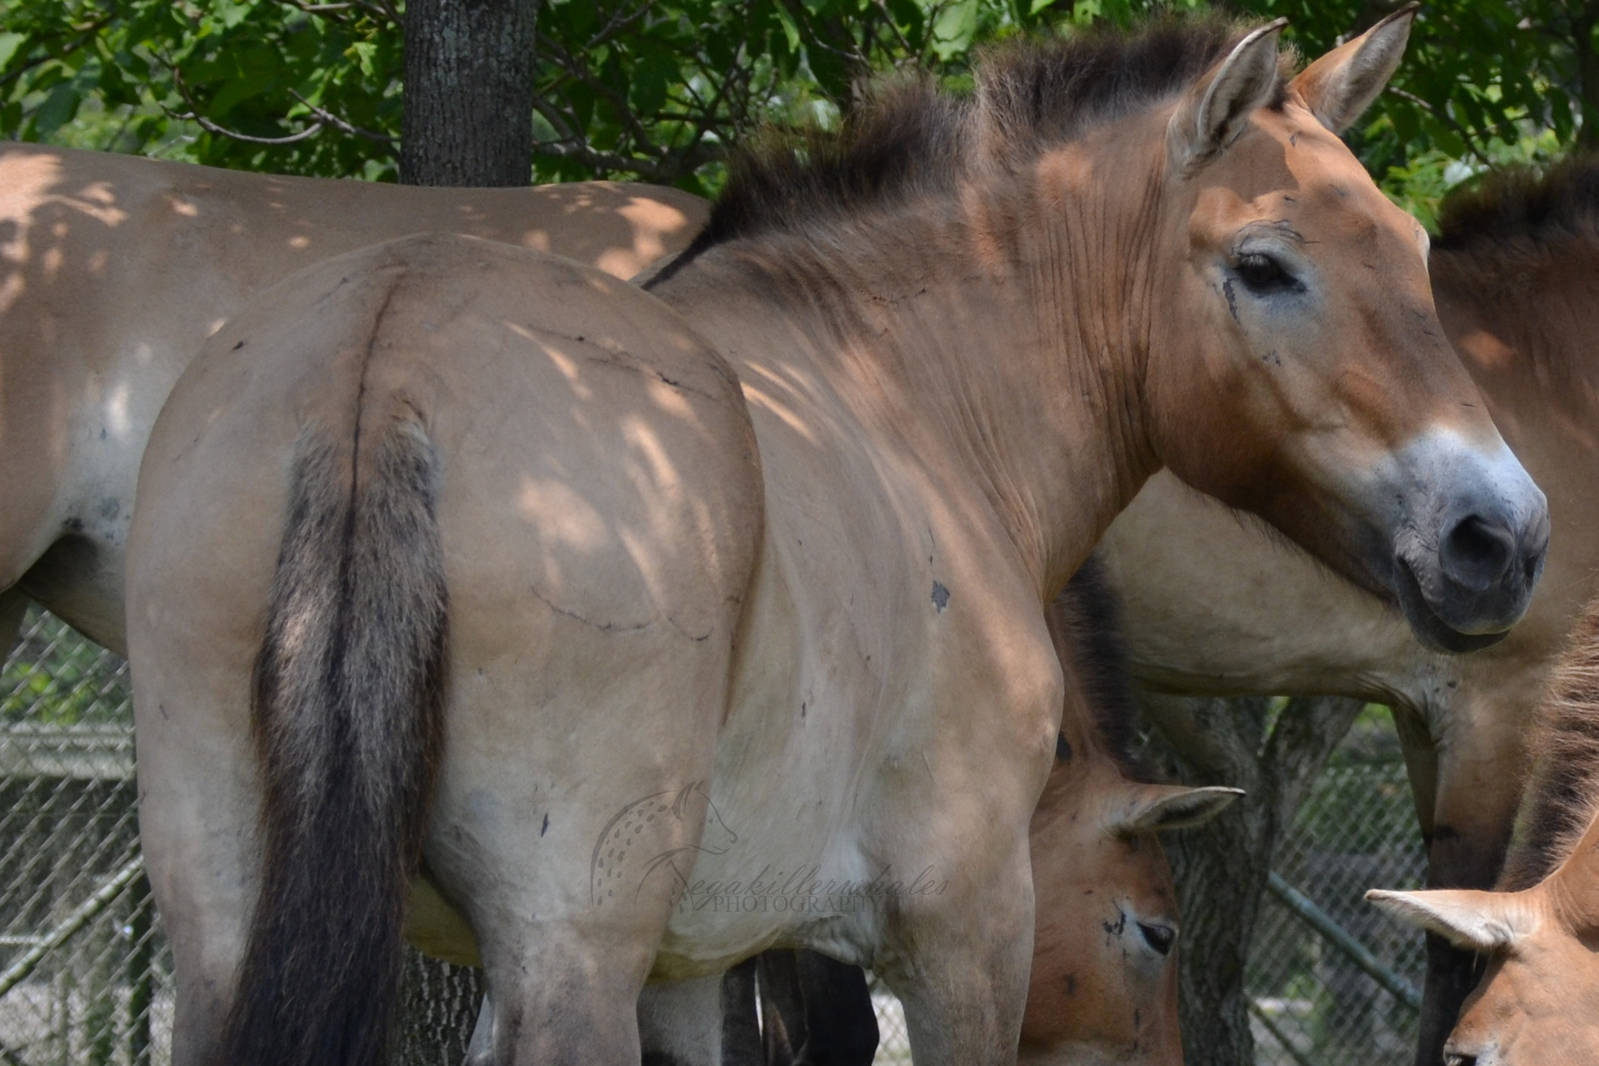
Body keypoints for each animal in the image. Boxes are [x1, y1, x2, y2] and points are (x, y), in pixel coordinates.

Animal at [126, 12, 1547, 1065]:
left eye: (1410, 246)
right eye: (1264, 265)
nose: (1501, 535)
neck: (905, 391)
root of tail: (387, 351)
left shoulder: (697, 964)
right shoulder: (964, 931)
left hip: (227, 926)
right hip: (566, 959)